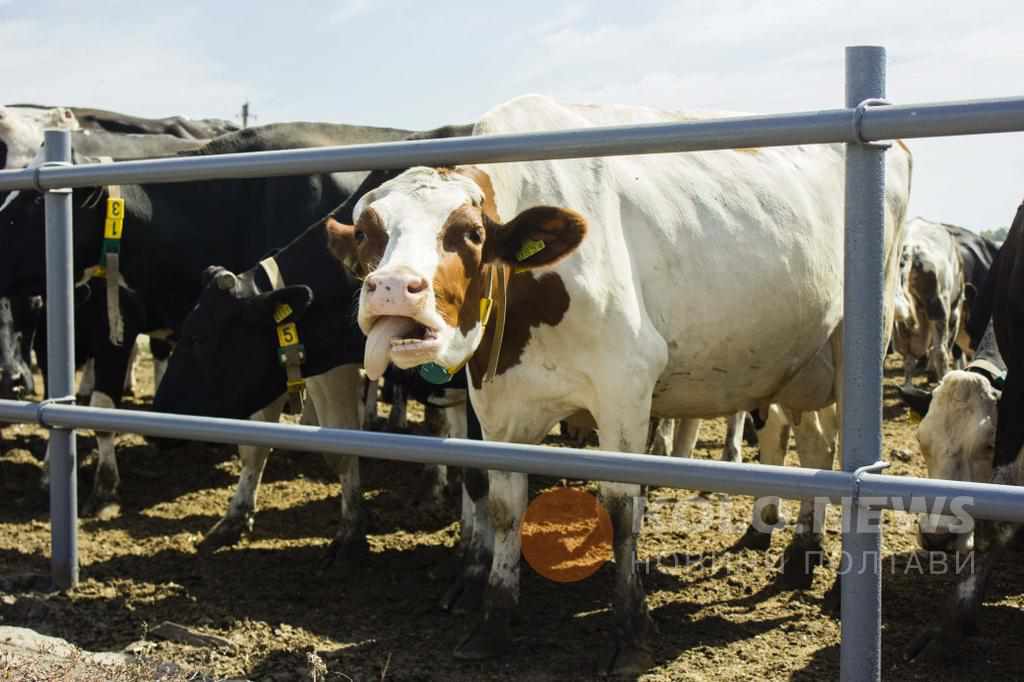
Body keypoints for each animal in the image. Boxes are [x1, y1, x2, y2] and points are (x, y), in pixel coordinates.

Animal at [321, 95, 913, 667]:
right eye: (369, 236)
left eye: (470, 233)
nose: (393, 289)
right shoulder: (497, 405)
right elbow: (504, 508)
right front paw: (493, 623)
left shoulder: (624, 387)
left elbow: (623, 510)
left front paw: (631, 631)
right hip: (803, 363)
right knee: (816, 446)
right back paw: (798, 557)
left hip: (861, 342)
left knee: (843, 454)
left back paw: (836, 587)